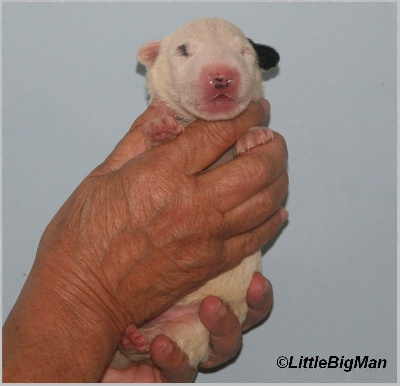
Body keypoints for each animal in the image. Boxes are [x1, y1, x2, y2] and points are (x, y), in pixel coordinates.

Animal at [111, 17, 280, 368]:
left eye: (244, 50)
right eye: (183, 50)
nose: (221, 76)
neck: (197, 122)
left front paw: (254, 137)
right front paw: (161, 131)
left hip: (193, 324)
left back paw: (137, 340)